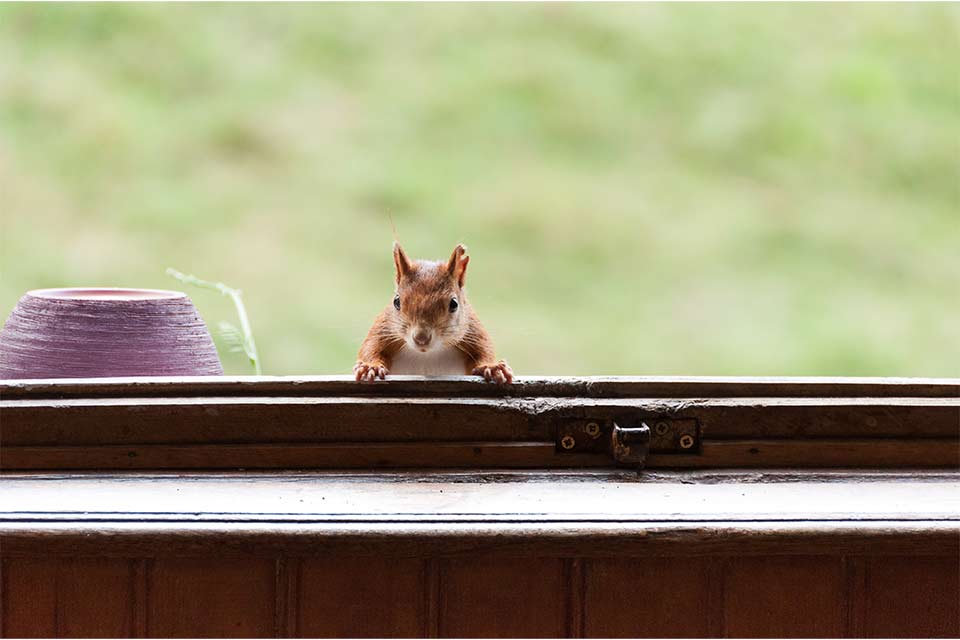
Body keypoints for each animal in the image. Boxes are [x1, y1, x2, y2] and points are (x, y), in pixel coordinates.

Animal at [352, 241, 512, 382]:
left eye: (454, 304)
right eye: (396, 301)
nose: (421, 338)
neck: (428, 354)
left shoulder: (473, 330)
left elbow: (484, 350)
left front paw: (492, 367)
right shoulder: (384, 328)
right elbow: (370, 347)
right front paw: (370, 367)